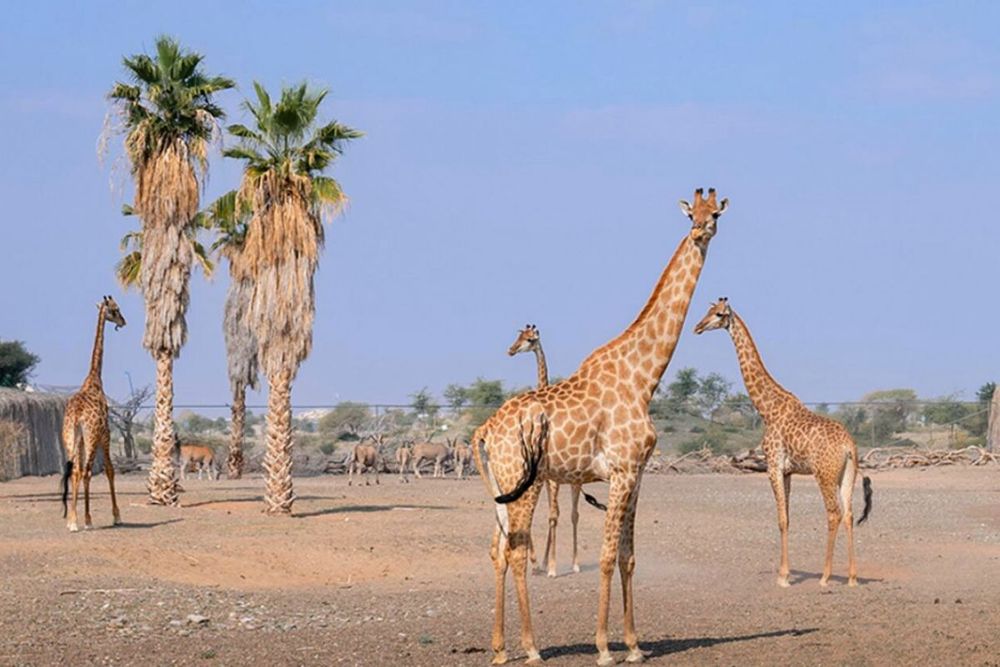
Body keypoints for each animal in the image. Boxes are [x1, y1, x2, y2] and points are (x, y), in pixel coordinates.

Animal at [60, 296, 127, 532]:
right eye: (115, 310)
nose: (123, 321)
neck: (94, 378)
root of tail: (76, 415)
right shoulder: (105, 434)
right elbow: (109, 469)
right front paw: (116, 516)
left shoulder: (80, 439)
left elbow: (78, 472)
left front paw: (74, 518)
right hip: (90, 438)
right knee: (87, 471)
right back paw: (85, 521)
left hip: (70, 438)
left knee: (74, 470)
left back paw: (72, 520)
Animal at [471, 188, 729, 666]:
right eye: (691, 215)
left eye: (715, 214)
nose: (700, 232)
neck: (644, 378)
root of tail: (485, 430)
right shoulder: (622, 471)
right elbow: (609, 556)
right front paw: (606, 647)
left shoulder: (636, 474)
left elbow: (629, 555)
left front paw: (635, 645)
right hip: (522, 481)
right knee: (515, 550)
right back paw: (531, 648)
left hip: (501, 485)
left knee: (497, 548)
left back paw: (499, 649)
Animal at [693, 298, 873, 587]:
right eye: (707, 311)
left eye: (719, 314)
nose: (697, 327)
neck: (767, 409)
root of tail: (849, 447)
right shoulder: (788, 471)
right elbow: (788, 518)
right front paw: (783, 572)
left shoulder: (773, 466)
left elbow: (781, 519)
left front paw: (784, 577)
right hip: (847, 475)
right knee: (848, 514)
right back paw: (852, 578)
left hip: (824, 474)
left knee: (833, 513)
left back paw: (825, 576)